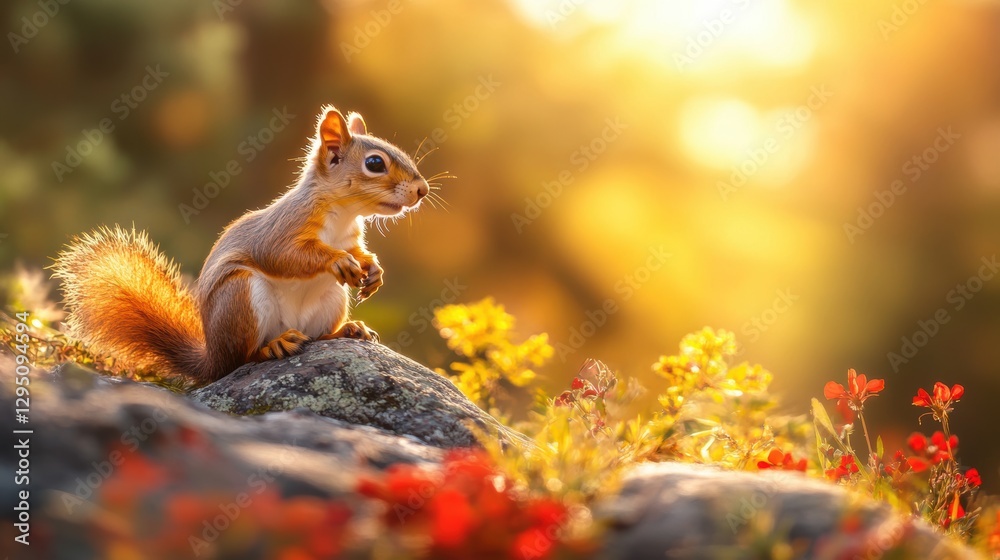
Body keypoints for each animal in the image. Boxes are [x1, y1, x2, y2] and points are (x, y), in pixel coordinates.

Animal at [52, 105, 429, 386]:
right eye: (375, 163)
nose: (422, 190)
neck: (343, 215)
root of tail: (212, 359)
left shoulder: (352, 237)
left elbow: (359, 253)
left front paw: (374, 269)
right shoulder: (282, 229)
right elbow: (284, 256)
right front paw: (336, 261)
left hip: (330, 301)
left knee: (318, 336)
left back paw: (346, 330)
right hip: (240, 298)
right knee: (242, 359)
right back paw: (273, 347)